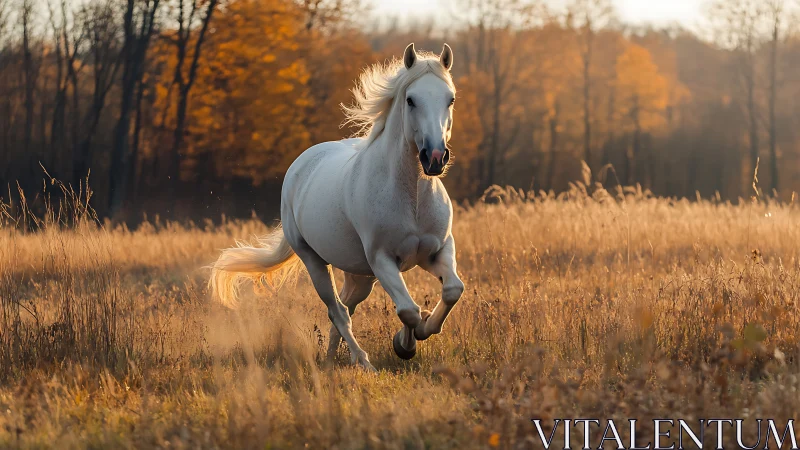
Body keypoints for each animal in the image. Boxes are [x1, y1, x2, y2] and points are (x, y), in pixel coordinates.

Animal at [209, 43, 464, 371]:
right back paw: (362, 362)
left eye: (450, 98)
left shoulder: (437, 250)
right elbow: (407, 309)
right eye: (411, 100)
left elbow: (452, 290)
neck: (413, 200)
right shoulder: (383, 260)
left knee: (345, 308)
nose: (435, 157)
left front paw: (423, 329)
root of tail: (302, 164)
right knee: (338, 311)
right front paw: (405, 345)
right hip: (315, 261)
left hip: (360, 274)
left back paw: (332, 359)